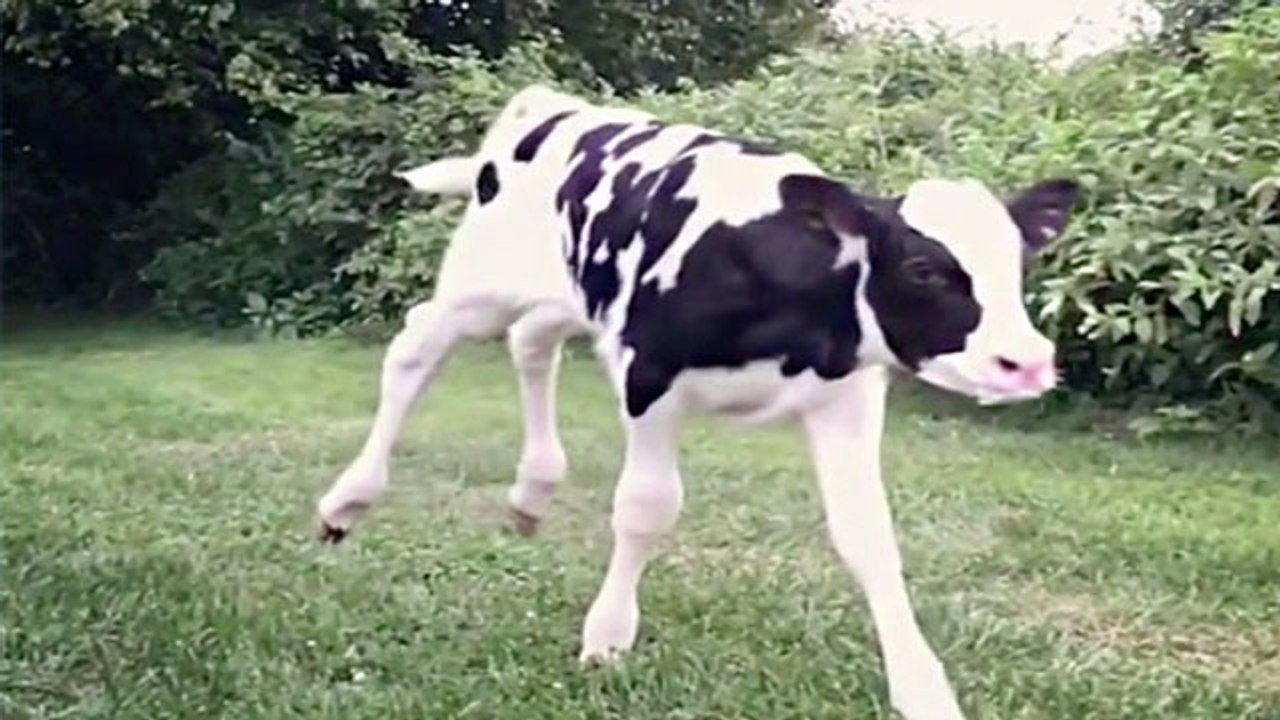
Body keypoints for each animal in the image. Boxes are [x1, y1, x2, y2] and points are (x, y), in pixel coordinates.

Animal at [314, 84, 1079, 720]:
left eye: (1020, 266)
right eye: (921, 268)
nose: (1028, 362)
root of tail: (548, 104)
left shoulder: (848, 400)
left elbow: (869, 536)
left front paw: (922, 690)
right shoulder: (649, 376)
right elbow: (647, 508)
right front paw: (608, 638)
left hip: (567, 298)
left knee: (531, 341)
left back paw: (532, 490)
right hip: (480, 282)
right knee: (416, 349)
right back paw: (348, 500)